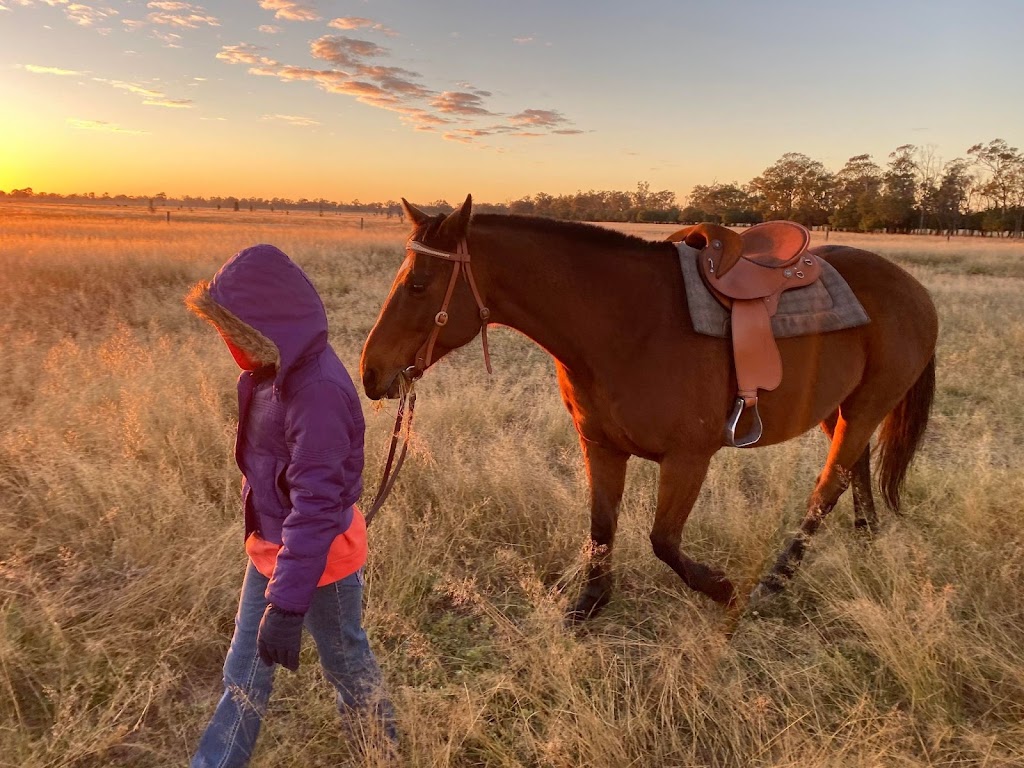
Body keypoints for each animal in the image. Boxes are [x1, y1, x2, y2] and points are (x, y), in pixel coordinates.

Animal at [360, 195, 937, 622]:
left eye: (418, 284)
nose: (369, 372)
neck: (626, 324)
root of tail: (913, 287)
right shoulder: (600, 446)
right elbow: (601, 526)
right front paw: (590, 604)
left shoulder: (688, 459)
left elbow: (663, 541)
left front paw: (724, 590)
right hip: (836, 409)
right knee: (855, 468)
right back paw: (865, 537)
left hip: (866, 406)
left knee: (828, 485)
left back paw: (776, 579)